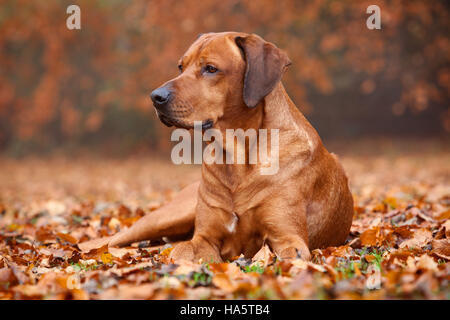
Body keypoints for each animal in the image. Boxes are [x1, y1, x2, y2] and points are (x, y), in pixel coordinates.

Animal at [81, 31, 356, 262]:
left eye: (211, 69)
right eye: (181, 67)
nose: (155, 97)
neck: (237, 156)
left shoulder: (288, 237)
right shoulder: (204, 236)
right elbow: (186, 250)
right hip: (169, 215)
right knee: (114, 240)